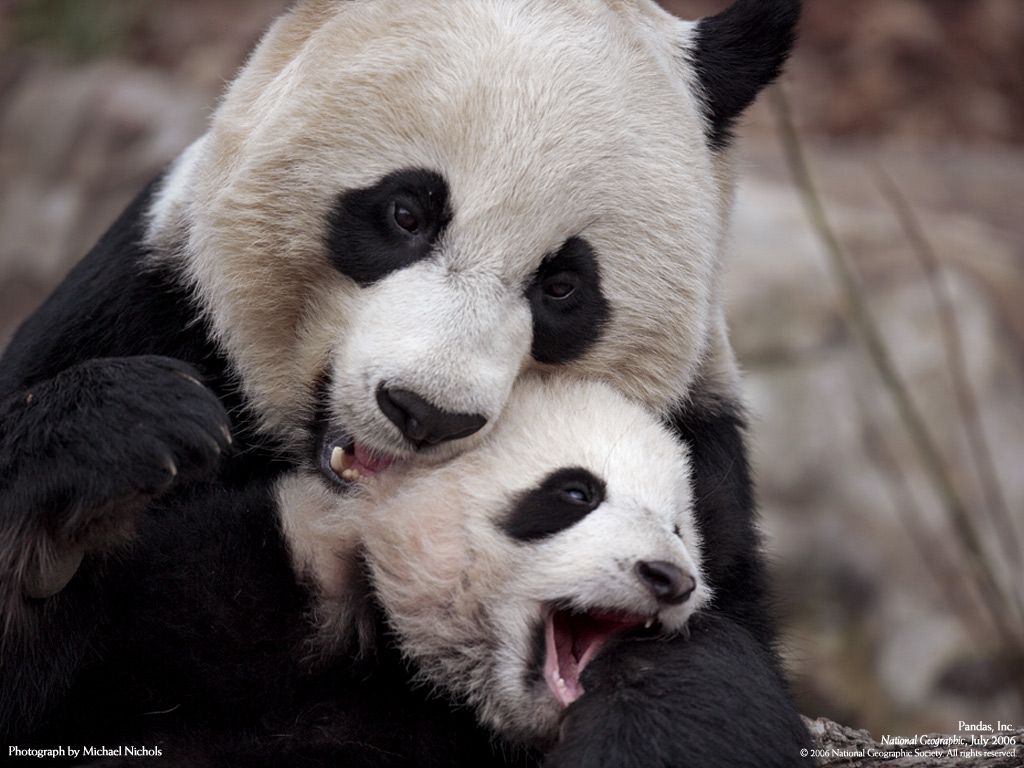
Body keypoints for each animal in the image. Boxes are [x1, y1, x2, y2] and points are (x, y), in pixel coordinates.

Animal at [0, 0, 807, 762]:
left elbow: (714, 657)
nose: (426, 412)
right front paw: (126, 435)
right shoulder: (148, 302)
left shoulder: (708, 457)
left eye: (563, 286)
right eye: (406, 212)